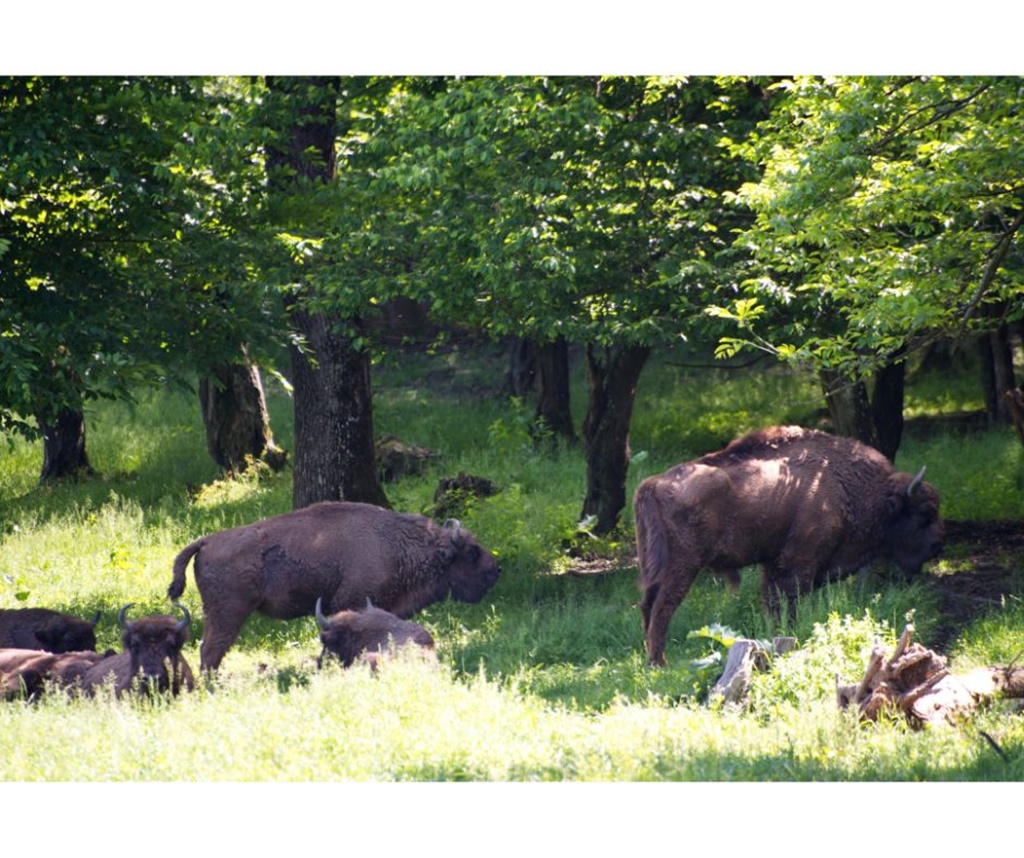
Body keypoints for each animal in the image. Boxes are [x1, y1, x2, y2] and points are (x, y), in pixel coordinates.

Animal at [167, 499, 499, 675]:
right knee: (211, 650)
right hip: (228, 613)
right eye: (471, 552)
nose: (496, 570)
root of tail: (206, 540)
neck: (395, 545)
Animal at [634, 425, 946, 667]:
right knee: (662, 608)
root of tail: (652, 484)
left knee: (647, 605)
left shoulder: (774, 564)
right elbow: (790, 602)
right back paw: (659, 663)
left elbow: (774, 604)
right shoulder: (800, 563)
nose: (938, 546)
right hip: (682, 566)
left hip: (656, 566)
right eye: (924, 513)